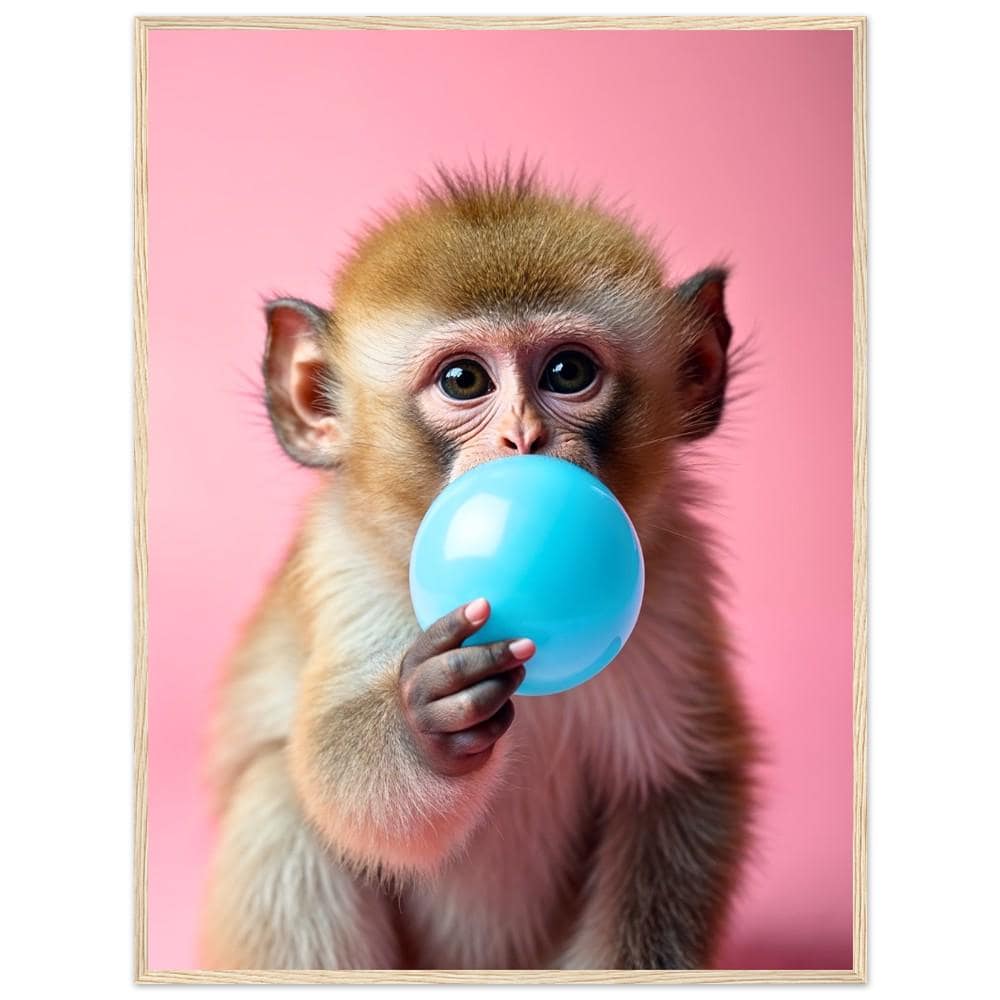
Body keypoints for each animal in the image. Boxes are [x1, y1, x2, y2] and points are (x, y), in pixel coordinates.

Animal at [200, 163, 756, 971]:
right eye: (464, 381)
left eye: (568, 371)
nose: (522, 438)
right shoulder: (344, 569)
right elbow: (336, 774)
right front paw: (425, 724)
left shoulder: (674, 580)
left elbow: (676, 785)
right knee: (279, 800)